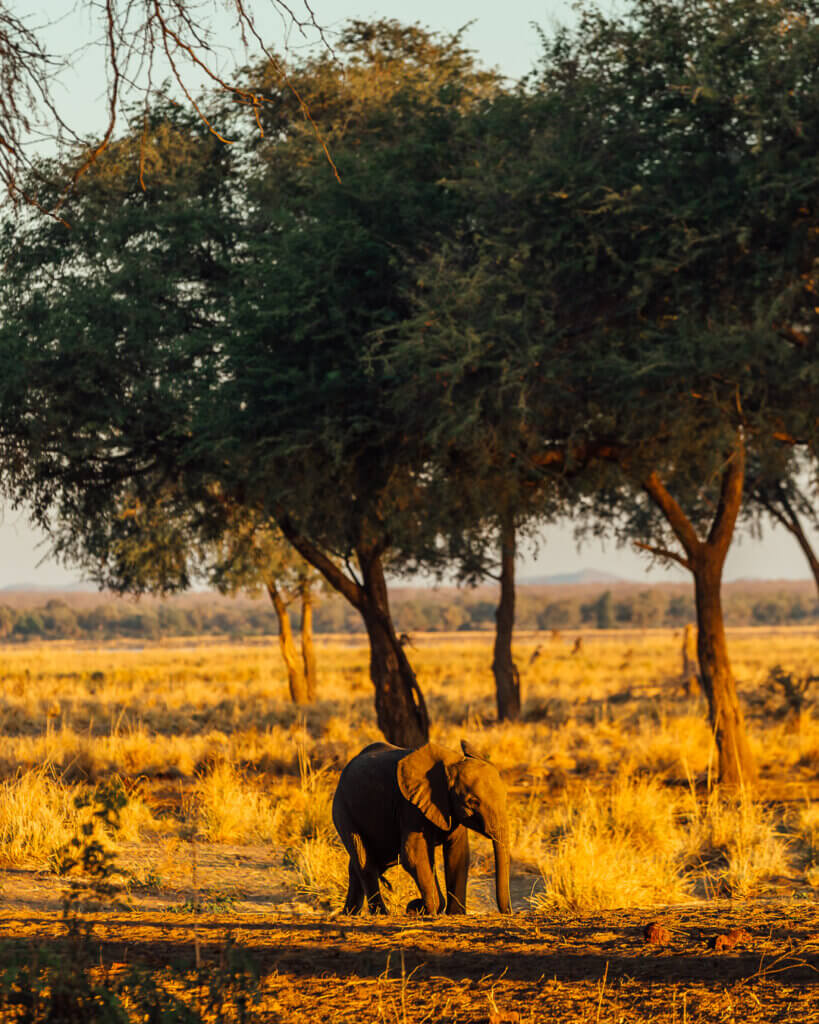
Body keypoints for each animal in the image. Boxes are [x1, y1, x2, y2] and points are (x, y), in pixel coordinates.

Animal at [332, 739, 512, 915]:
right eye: (472, 802)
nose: (507, 912)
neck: (451, 763)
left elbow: (458, 855)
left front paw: (454, 914)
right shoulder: (410, 805)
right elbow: (412, 855)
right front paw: (425, 909)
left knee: (369, 864)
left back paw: (349, 913)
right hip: (343, 809)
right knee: (365, 860)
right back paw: (381, 913)